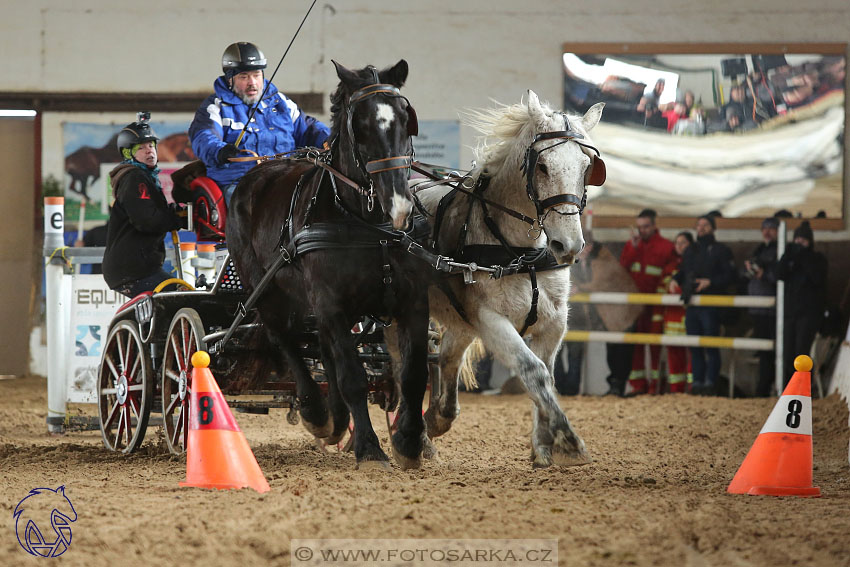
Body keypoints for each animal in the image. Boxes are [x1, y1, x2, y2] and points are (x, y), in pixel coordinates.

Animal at [227, 61, 430, 470]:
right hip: (266, 290)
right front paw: (369, 448)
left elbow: (413, 373)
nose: (400, 205)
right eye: (360, 125)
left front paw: (409, 441)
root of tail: (256, 173)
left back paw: (336, 419)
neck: (373, 227)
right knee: (286, 338)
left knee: (320, 346)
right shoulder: (333, 304)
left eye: (406, 119)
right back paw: (317, 413)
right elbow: (353, 375)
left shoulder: (413, 303)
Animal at [406, 91, 600, 468]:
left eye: (587, 168)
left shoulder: (554, 322)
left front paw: (543, 445)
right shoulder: (491, 320)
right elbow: (532, 370)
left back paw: (434, 423)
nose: (568, 245)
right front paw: (568, 441)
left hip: (459, 319)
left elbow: (547, 378)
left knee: (447, 358)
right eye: (542, 166)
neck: (519, 253)